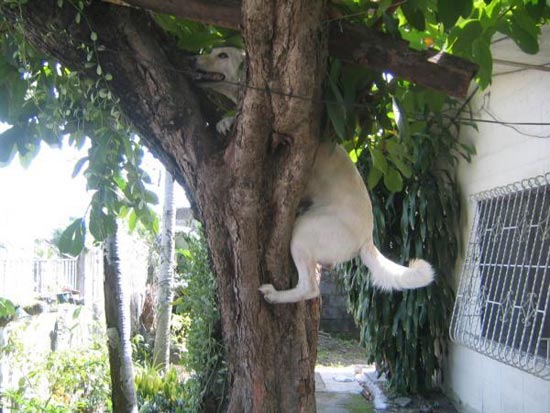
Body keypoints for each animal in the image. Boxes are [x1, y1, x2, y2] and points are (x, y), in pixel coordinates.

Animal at [191, 47, 436, 302]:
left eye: (223, 55)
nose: (191, 58)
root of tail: (367, 240)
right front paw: (226, 121)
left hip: (302, 233)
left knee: (309, 288)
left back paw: (275, 295)